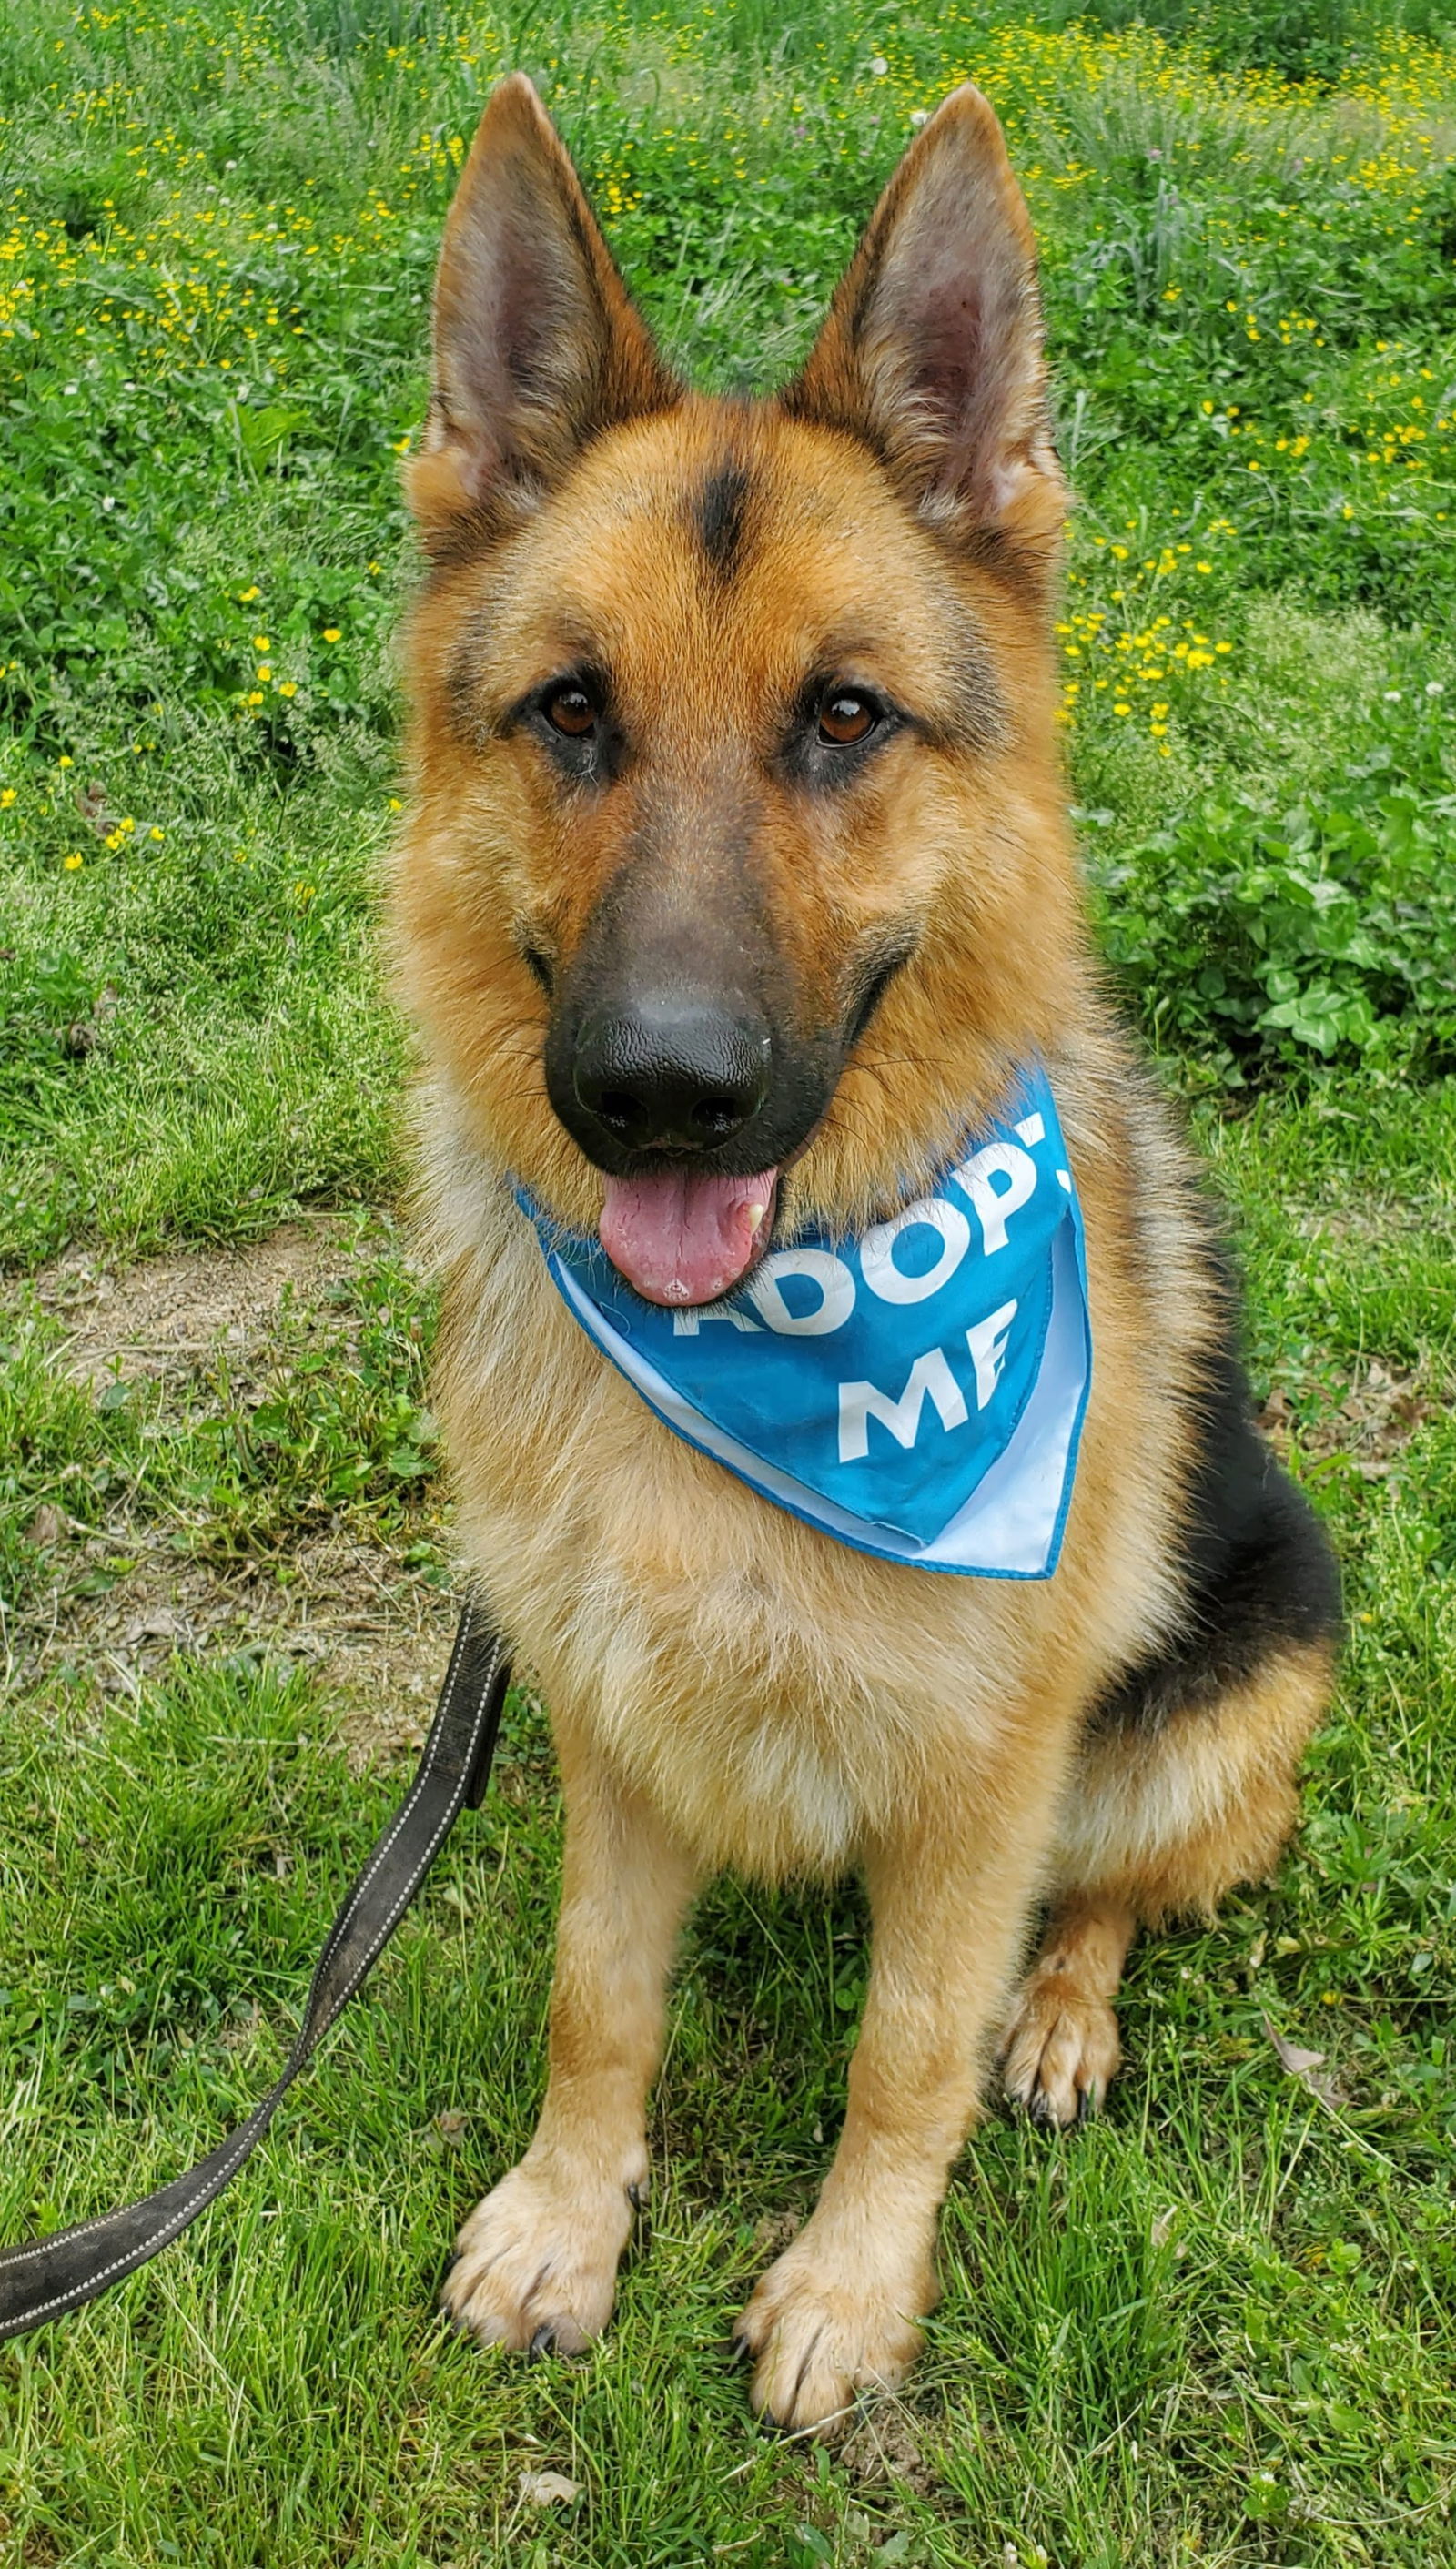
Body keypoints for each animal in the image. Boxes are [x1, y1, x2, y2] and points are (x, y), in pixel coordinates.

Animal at [395, 80, 1345, 2435]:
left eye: (843, 719)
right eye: (567, 711)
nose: (657, 1091)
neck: (799, 1330)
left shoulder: (984, 1780)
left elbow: (902, 2045)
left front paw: (845, 2283)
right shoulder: (610, 1715)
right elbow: (594, 1998)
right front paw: (566, 2219)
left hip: (1217, 1698)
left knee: (1113, 1898)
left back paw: (1063, 2018)